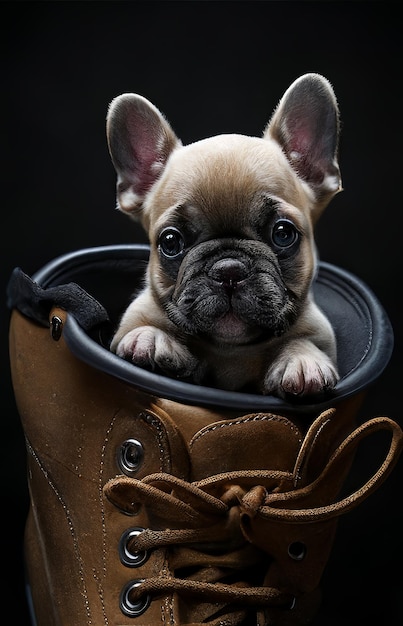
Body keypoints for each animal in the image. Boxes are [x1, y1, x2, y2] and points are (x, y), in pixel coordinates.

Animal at [105, 73, 342, 394]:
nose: (228, 269)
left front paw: (302, 361)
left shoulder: (318, 330)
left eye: (283, 234)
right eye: (170, 241)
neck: (230, 350)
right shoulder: (136, 315)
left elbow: (303, 341)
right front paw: (150, 339)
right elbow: (142, 326)